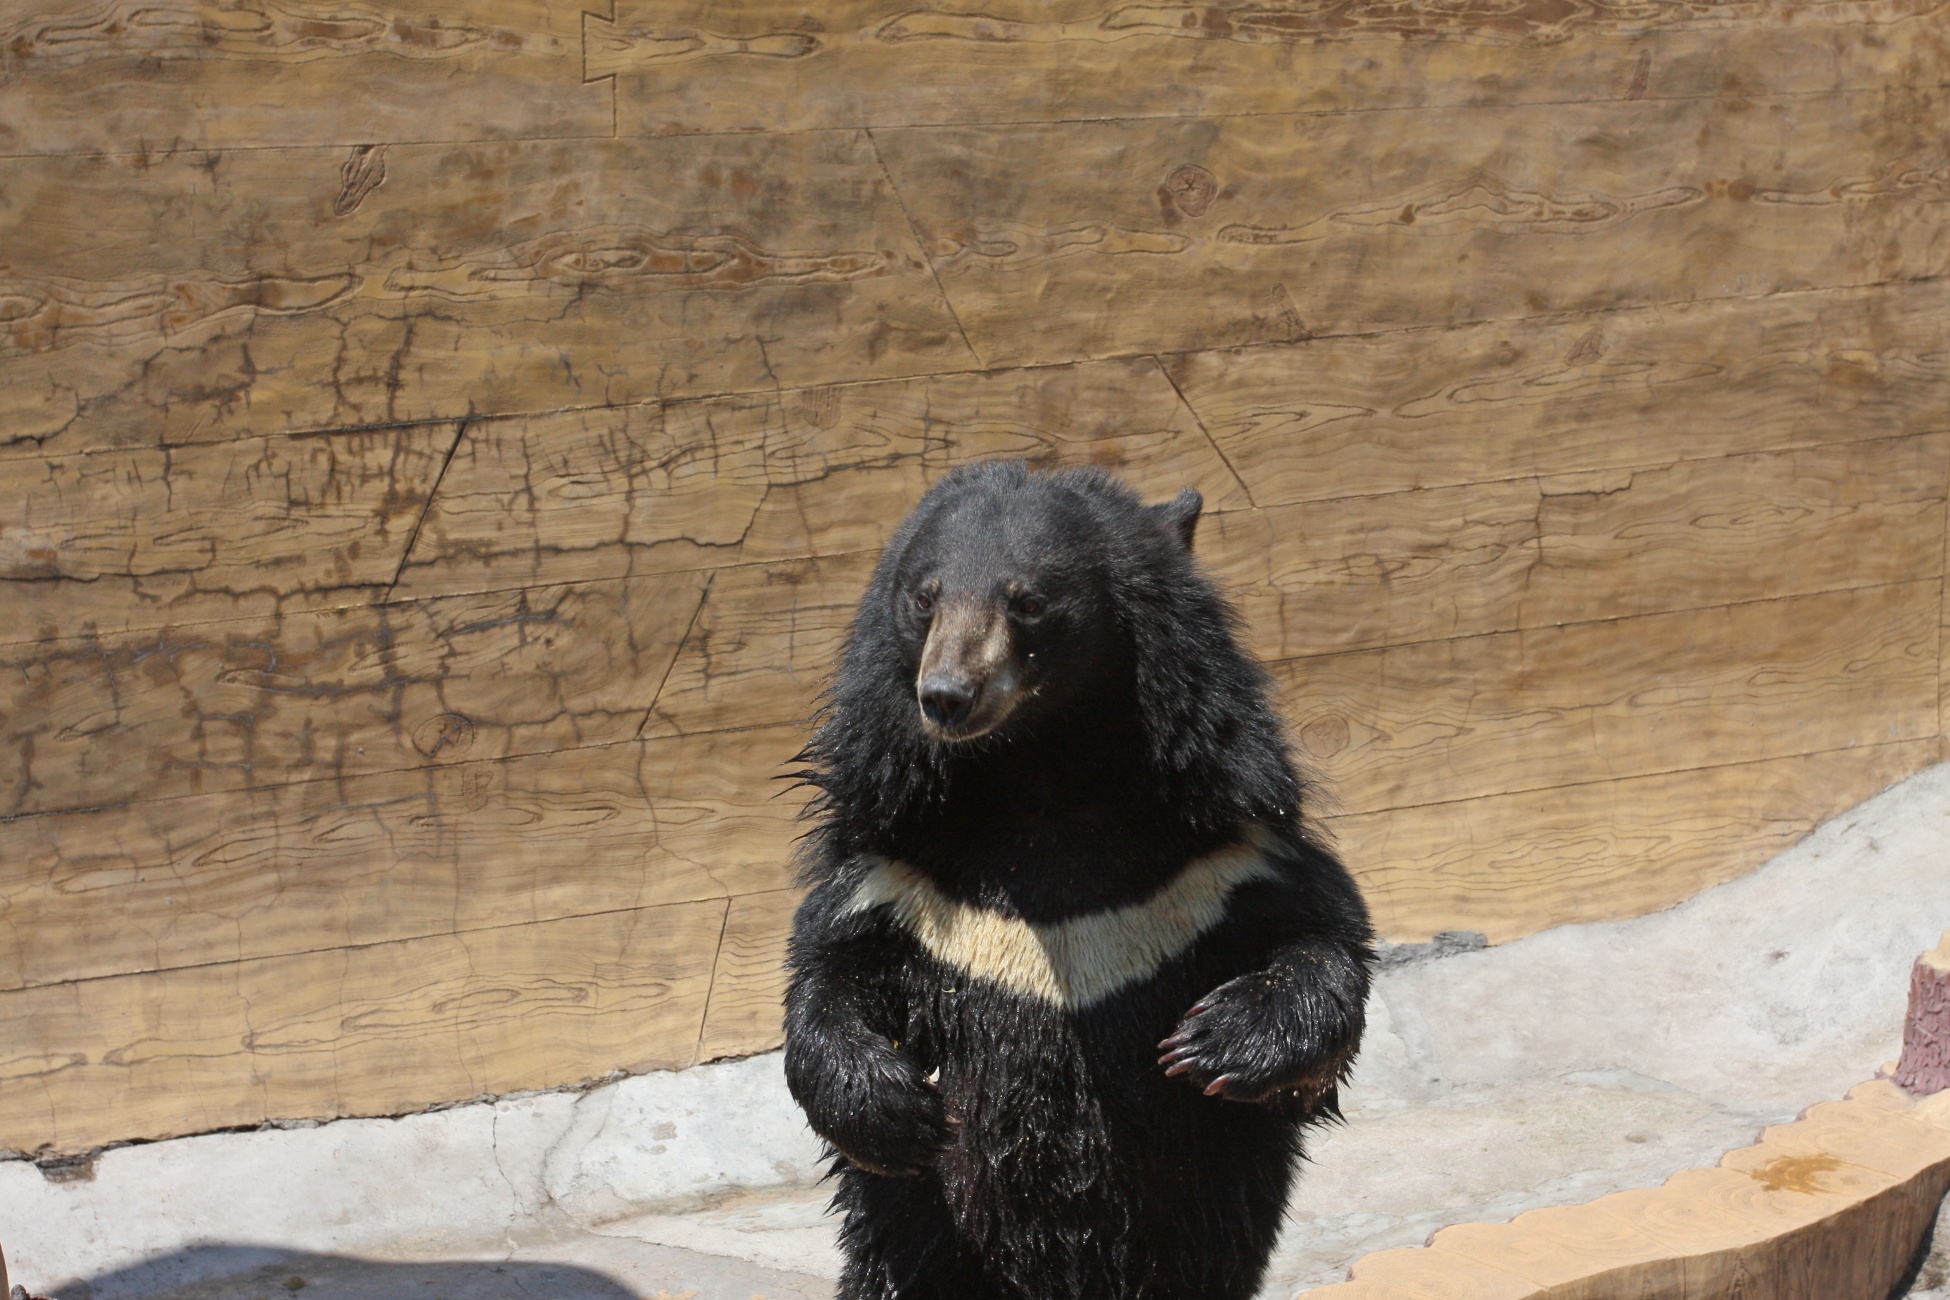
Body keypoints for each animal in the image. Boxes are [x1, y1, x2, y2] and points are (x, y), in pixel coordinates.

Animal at [783, 461, 1380, 1294]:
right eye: (925, 596)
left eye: (1028, 601)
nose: (946, 697)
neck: (1042, 772)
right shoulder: (898, 874)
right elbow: (827, 973)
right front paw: (900, 1111)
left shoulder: (1221, 859)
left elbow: (1322, 936)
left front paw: (1211, 1044)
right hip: (924, 1239)